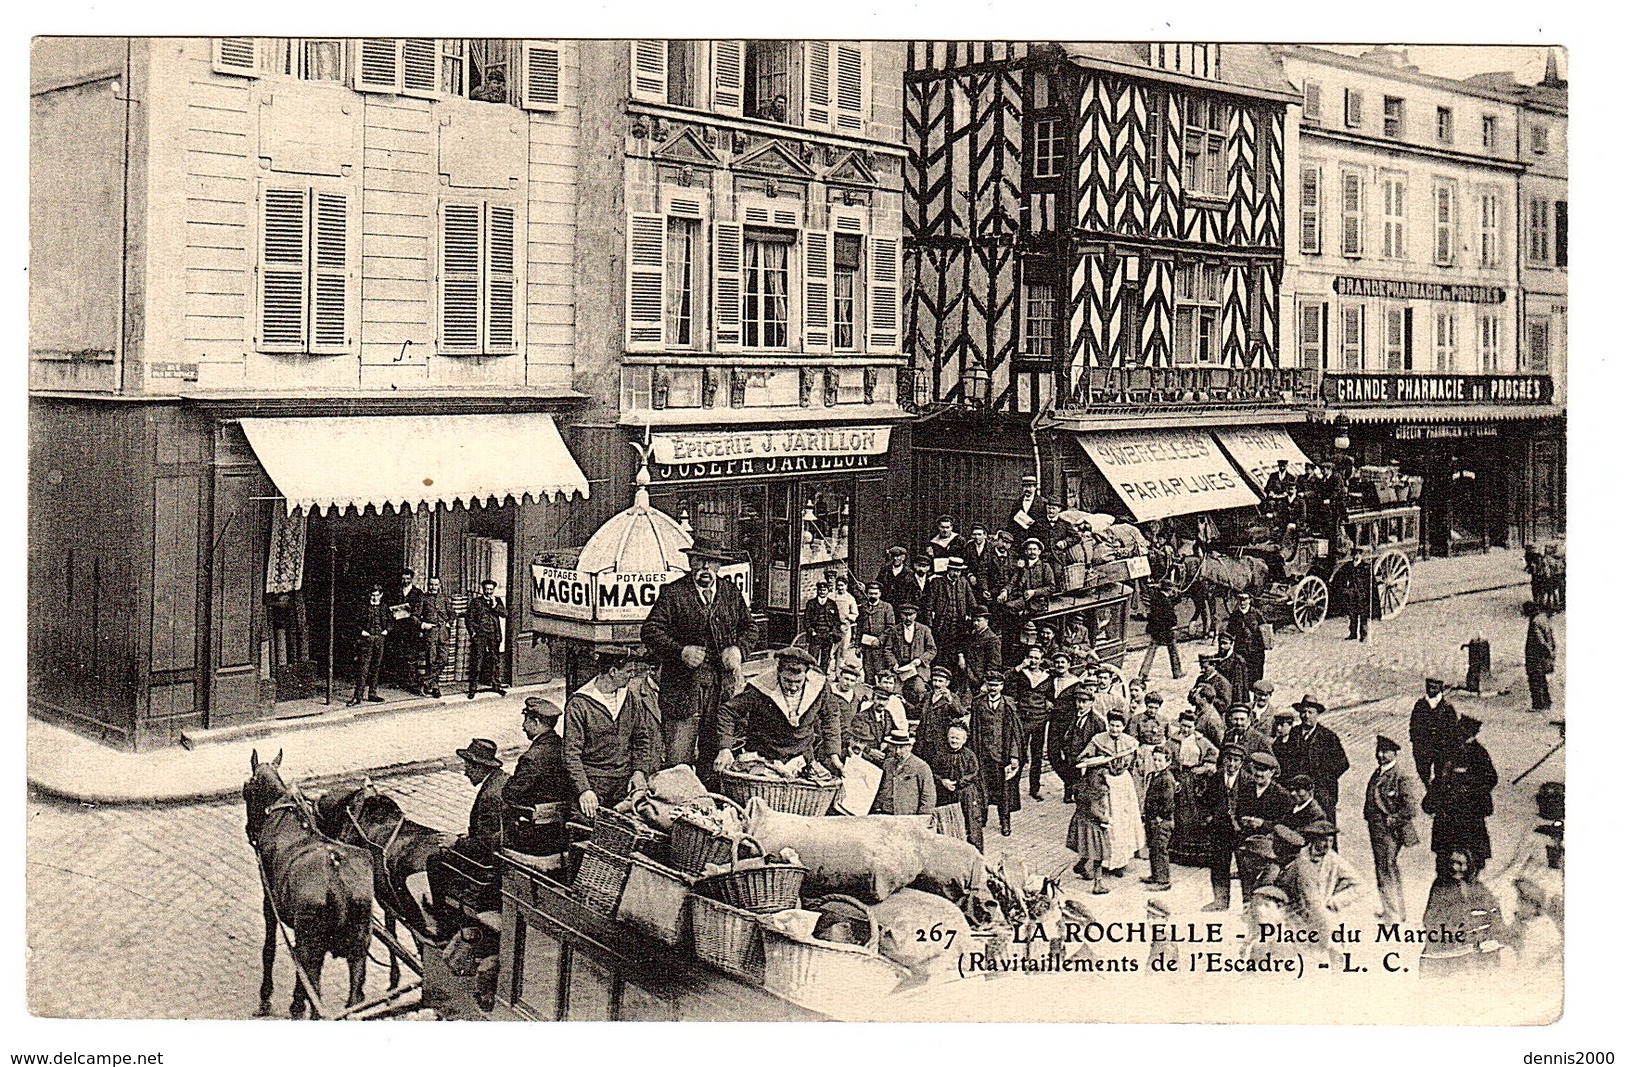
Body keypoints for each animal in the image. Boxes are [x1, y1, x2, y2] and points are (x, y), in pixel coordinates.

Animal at [240, 750, 373, 1013]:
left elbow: (269, 949)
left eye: (245, 789)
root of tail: (337, 882)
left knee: (313, 991)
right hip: (359, 947)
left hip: (311, 946)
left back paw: (296, 1007)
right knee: (354, 996)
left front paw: (266, 996)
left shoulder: (269, 902)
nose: (250, 831)